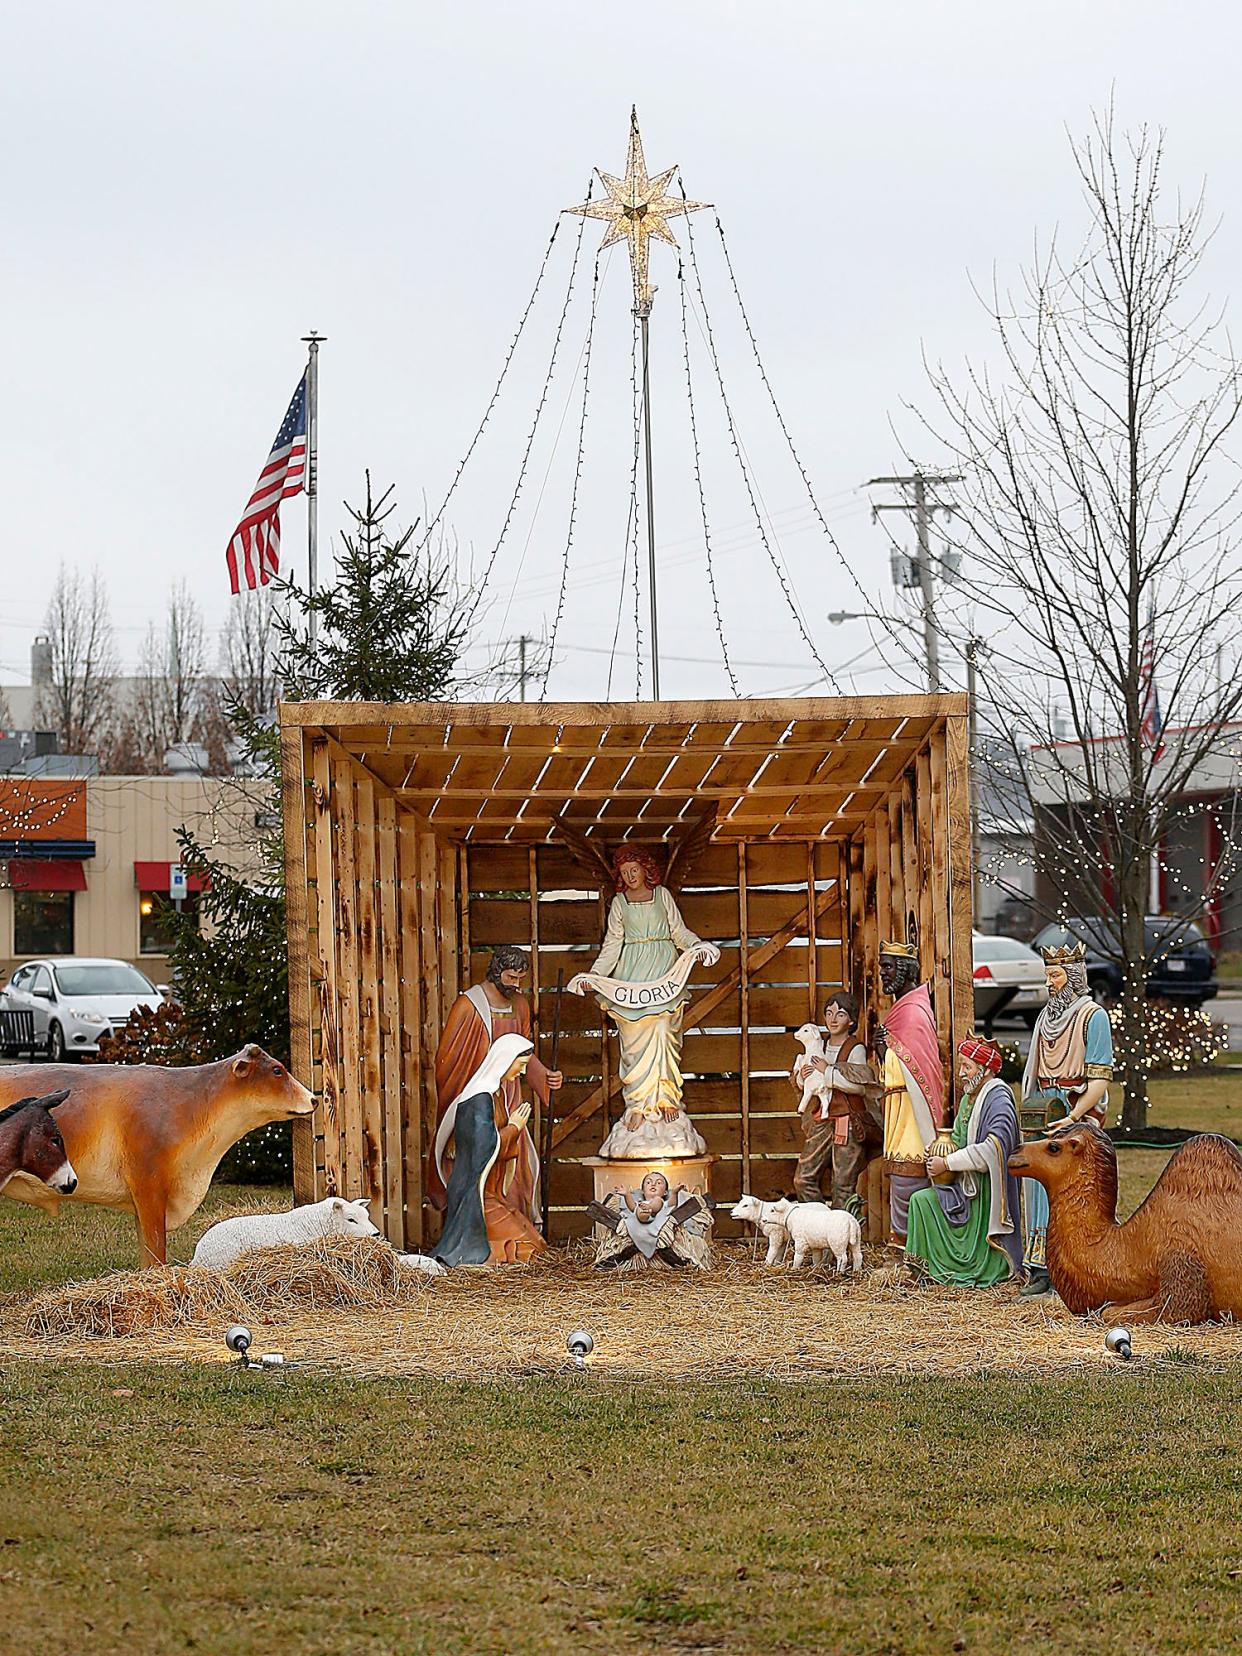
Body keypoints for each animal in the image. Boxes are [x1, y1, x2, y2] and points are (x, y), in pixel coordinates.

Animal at [728, 1198, 867, 1271]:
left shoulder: (776, 1234)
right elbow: (779, 1252)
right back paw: (855, 1270)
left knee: (840, 1257)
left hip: (836, 1241)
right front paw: (777, 1264)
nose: (731, 1212)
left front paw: (767, 1264)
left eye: (745, 1205)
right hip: (852, 1241)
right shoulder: (782, 1238)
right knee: (857, 1255)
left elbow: (773, 1250)